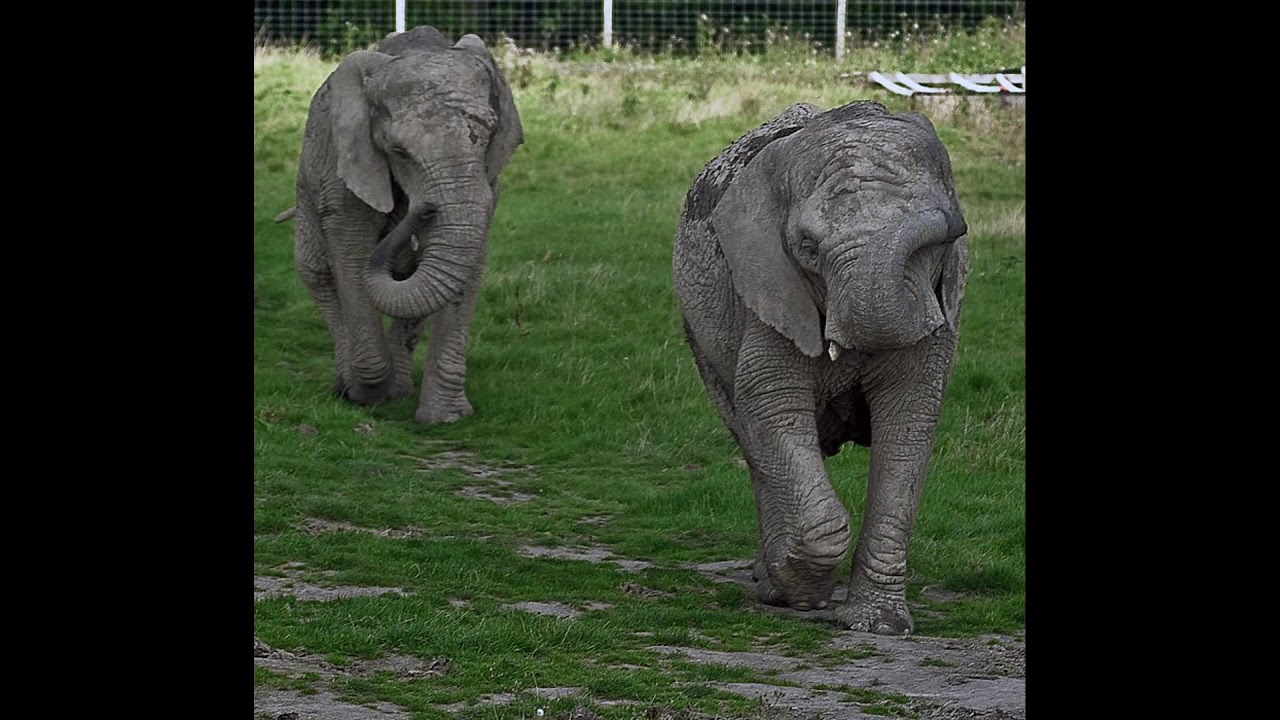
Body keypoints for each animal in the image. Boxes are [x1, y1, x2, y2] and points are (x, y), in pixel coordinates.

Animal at [286, 26, 523, 423]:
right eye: (398, 152)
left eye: (489, 132)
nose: (422, 209)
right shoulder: (346, 162)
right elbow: (350, 253)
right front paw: (364, 395)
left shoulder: (490, 181)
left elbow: (468, 264)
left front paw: (446, 418)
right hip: (306, 183)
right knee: (316, 271)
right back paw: (348, 386)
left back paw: (398, 390)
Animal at [672, 101, 970, 634]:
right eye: (808, 249)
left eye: (933, 248)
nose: (953, 220)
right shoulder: (770, 288)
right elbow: (769, 405)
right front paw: (800, 590)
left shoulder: (936, 306)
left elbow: (911, 419)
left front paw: (879, 626)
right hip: (700, 334)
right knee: (750, 441)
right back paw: (771, 583)